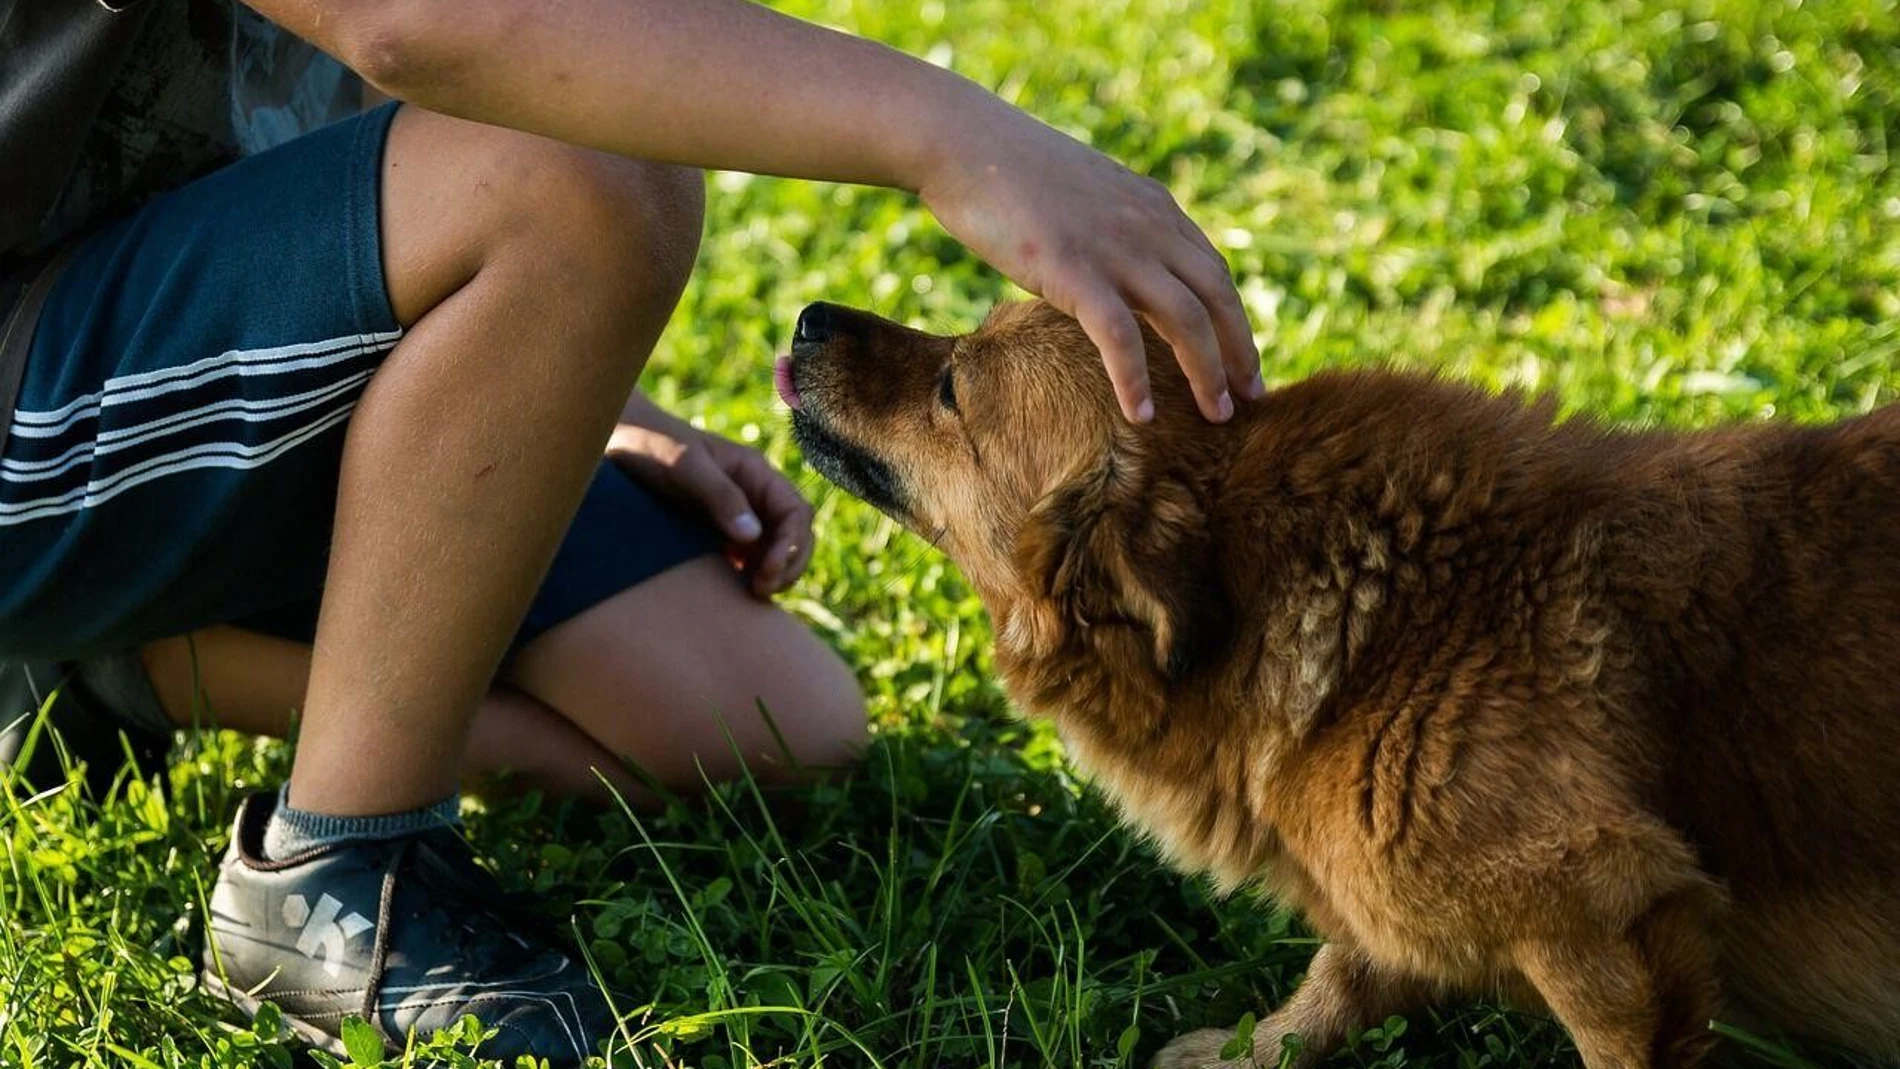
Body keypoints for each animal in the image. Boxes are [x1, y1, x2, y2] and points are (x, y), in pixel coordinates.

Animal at [779, 300, 1900, 1069]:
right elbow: (1340, 973)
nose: (810, 315)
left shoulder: (1604, 916)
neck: (1386, 616)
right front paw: (1250, 1050)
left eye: (951, 387)